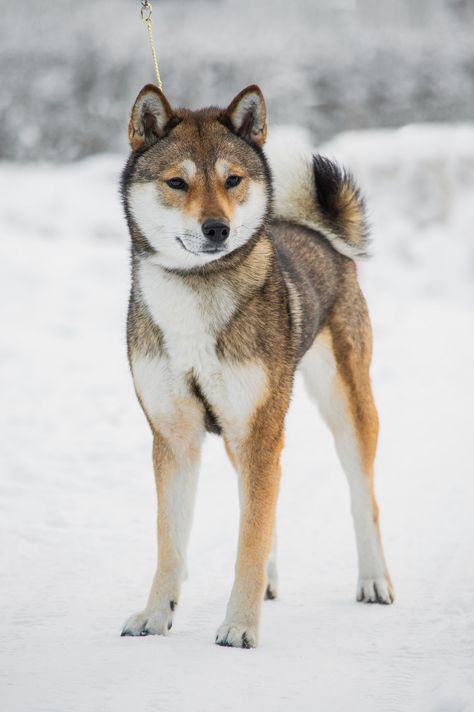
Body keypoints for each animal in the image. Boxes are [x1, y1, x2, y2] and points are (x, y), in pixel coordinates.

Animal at [120, 85, 394, 652]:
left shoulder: (259, 430)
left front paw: (241, 626)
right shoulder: (175, 436)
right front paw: (155, 615)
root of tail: (314, 232)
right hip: (237, 432)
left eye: (232, 180)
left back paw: (375, 580)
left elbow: (248, 539)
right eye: (177, 182)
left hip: (344, 407)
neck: (196, 292)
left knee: (363, 498)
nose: (217, 228)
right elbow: (170, 542)